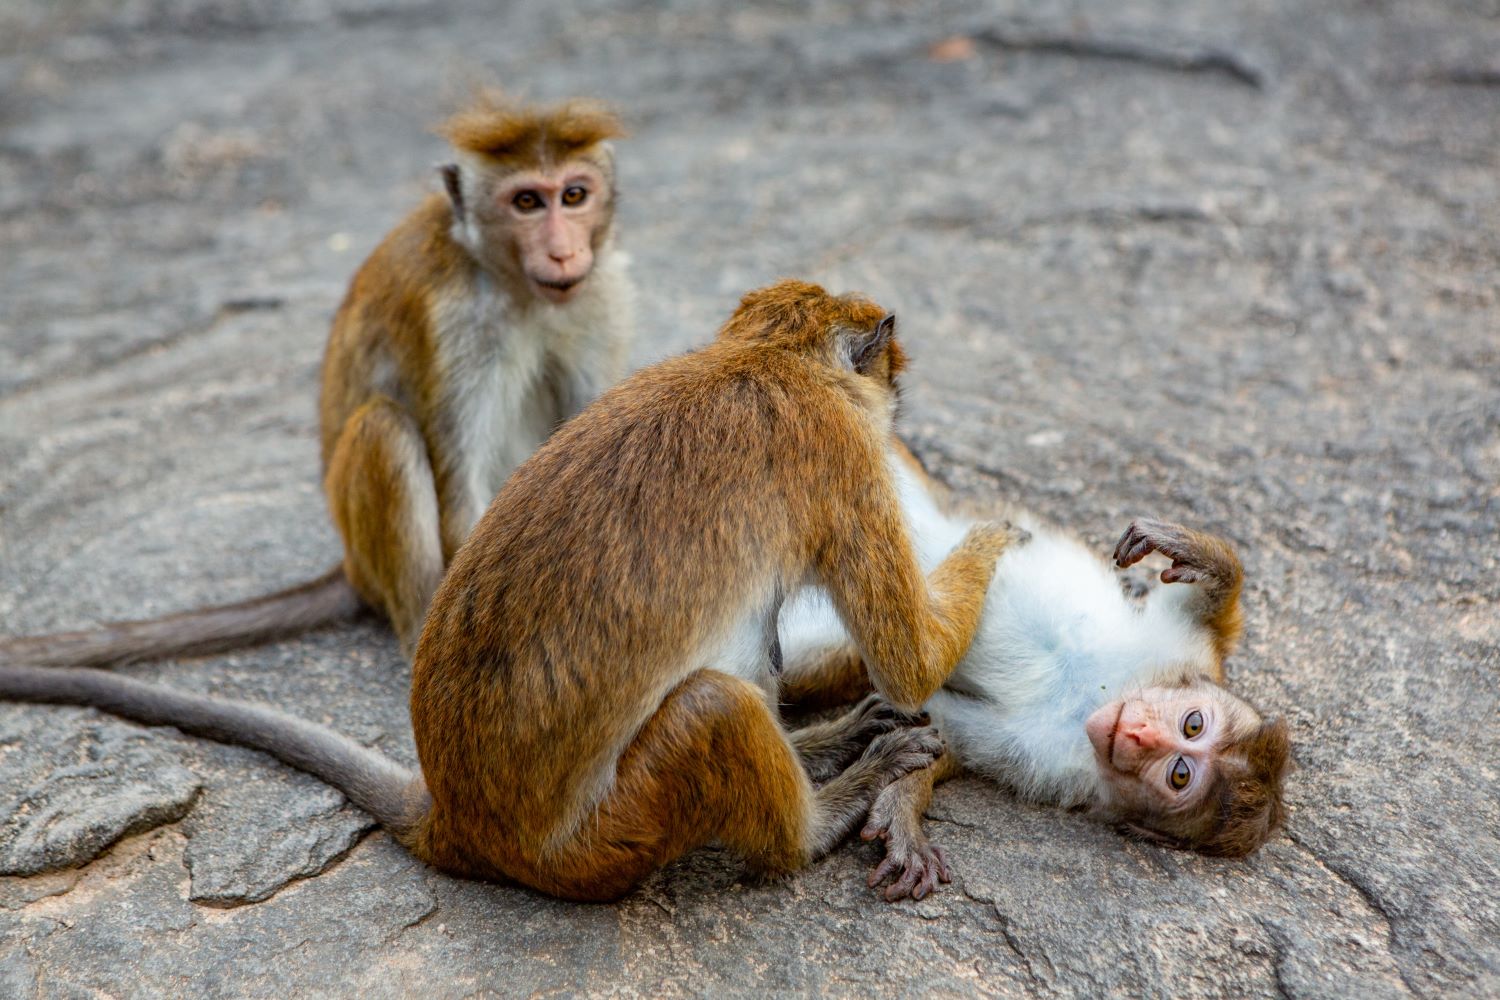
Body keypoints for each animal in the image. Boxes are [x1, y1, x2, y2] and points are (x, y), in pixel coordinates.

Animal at [0, 280, 1019, 901]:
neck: (767, 360)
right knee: (712, 708)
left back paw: (822, 748)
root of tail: (463, 823)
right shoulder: (842, 457)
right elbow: (909, 654)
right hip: (607, 838)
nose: (905, 410)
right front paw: (998, 534)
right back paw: (818, 816)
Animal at [1, 93, 636, 666]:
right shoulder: (454, 323)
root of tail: (349, 565)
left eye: (574, 196)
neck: (514, 285)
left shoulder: (599, 296)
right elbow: (461, 492)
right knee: (385, 429)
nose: (562, 252)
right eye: (526, 202)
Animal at [775, 443, 1292, 901]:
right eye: (1193, 723)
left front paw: (900, 805)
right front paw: (1205, 559)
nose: (1139, 734)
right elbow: (1211, 613)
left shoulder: (1043, 762)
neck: (1101, 696)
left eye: (1178, 775)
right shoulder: (1186, 650)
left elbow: (947, 731)